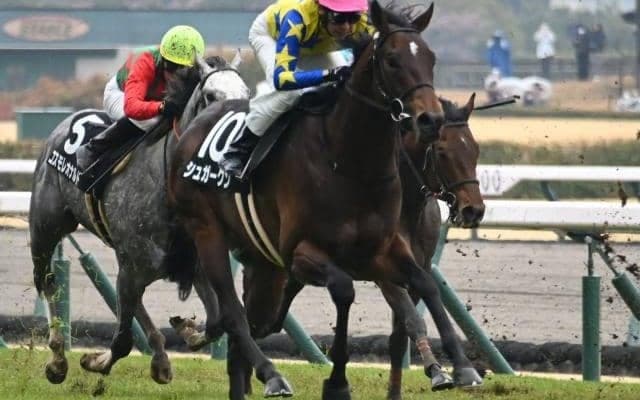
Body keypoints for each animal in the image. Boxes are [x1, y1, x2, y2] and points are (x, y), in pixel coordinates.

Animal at [28, 54, 294, 394]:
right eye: (211, 96)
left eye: (247, 93)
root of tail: (64, 123)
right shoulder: (135, 266)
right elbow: (123, 340)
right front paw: (94, 361)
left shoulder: (194, 261)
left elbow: (217, 321)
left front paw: (187, 330)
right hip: (46, 228)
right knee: (47, 281)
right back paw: (58, 359)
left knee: (132, 301)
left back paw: (161, 359)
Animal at [168, 2, 475, 399]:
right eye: (391, 60)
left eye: (431, 59)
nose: (430, 120)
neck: (350, 162)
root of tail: (192, 127)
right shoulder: (304, 253)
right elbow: (344, 292)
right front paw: (338, 382)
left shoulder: (381, 251)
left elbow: (425, 285)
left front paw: (462, 366)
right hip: (208, 233)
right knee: (235, 316)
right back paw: (272, 374)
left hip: (263, 262)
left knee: (254, 323)